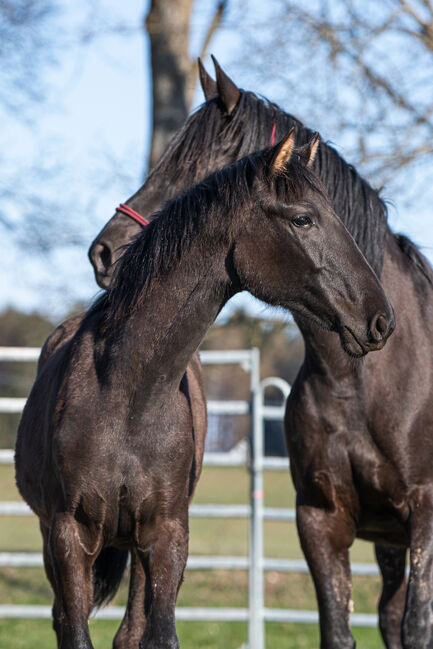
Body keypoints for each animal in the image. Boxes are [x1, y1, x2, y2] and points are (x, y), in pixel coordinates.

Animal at [14, 133, 392, 648]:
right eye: (303, 218)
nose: (380, 319)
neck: (126, 398)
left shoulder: (167, 535)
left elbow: (158, 635)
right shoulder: (69, 538)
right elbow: (74, 630)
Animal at [88, 58, 433, 644]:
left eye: (196, 169)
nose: (103, 253)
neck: (364, 380)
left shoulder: (425, 513)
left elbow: (418, 625)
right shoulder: (320, 520)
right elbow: (341, 628)